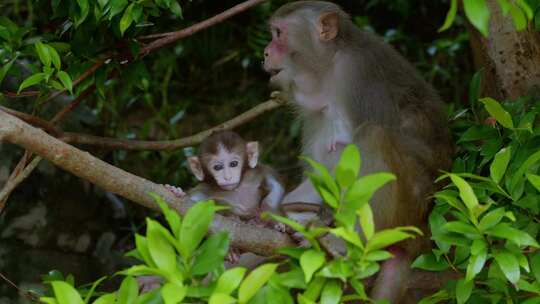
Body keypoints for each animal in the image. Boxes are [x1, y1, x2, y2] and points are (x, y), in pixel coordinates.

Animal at [264, 1, 454, 302]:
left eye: (279, 34)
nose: (266, 51)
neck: (328, 68)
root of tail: (424, 232)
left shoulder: (361, 74)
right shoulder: (312, 111)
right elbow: (320, 172)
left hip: (409, 209)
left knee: (374, 135)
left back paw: (352, 243)